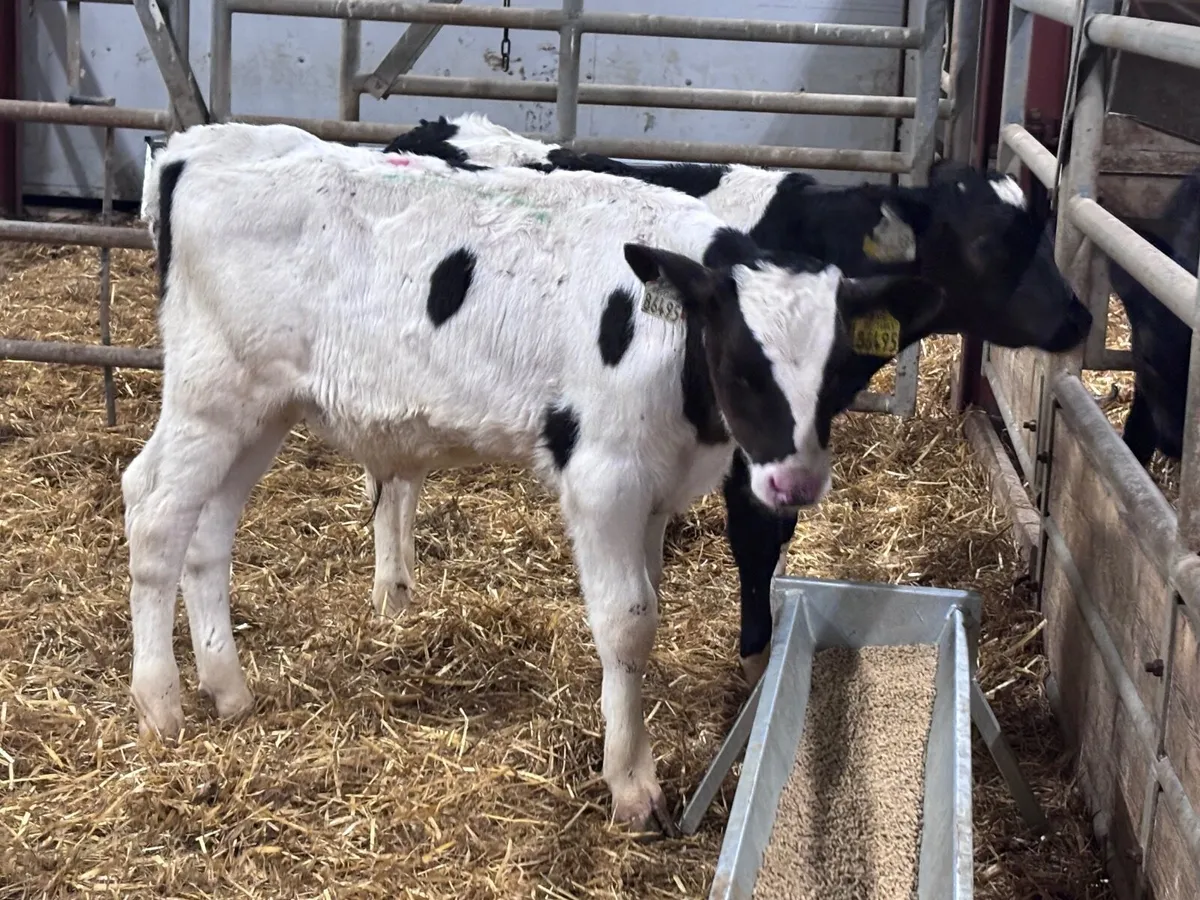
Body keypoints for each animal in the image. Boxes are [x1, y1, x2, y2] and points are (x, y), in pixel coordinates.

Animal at [127, 122, 944, 834]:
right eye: (743, 363)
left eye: (840, 370)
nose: (795, 485)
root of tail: (197, 147)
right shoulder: (605, 476)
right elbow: (629, 621)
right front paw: (633, 786)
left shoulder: (656, 489)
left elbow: (647, 603)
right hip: (211, 396)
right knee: (154, 511)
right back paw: (160, 707)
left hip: (260, 411)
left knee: (209, 533)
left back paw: (228, 689)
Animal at [375, 113, 1094, 684]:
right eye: (990, 243)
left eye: (1042, 227)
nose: (1080, 318)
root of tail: (429, 127)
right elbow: (756, 536)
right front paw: (756, 659)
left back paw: (399, 589)